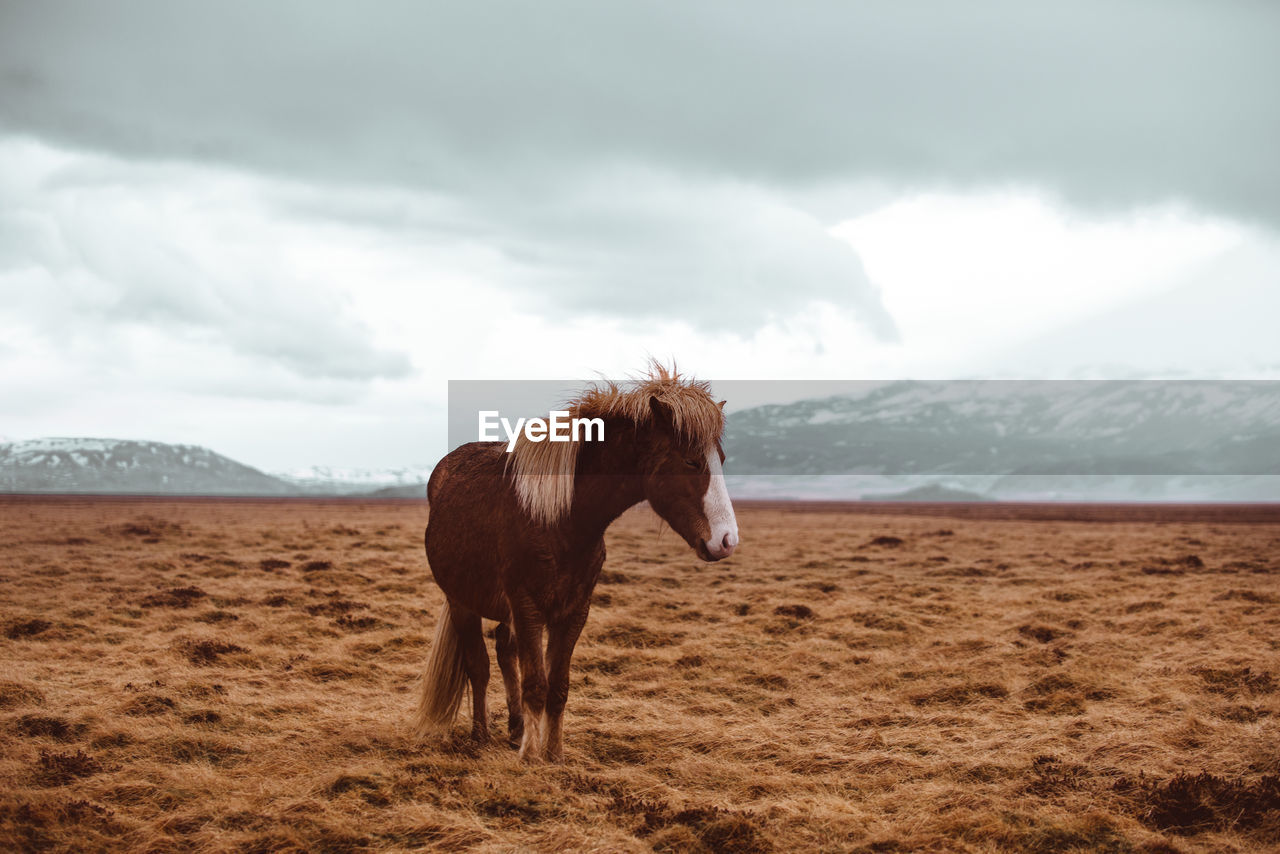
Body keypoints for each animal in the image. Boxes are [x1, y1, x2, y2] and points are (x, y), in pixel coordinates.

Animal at [414, 363, 742, 763]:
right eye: (691, 460)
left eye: (721, 460)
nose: (727, 540)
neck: (563, 520)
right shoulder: (527, 606)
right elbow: (535, 684)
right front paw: (529, 757)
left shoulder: (574, 610)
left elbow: (558, 686)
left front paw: (554, 754)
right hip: (461, 601)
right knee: (479, 666)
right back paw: (480, 734)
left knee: (505, 654)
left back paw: (515, 727)